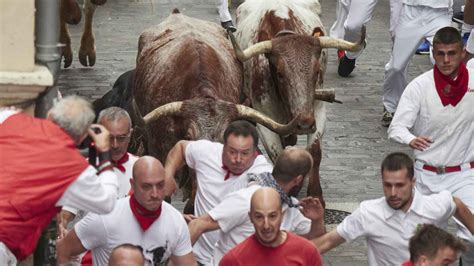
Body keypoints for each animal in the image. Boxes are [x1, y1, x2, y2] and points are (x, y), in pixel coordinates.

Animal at [231, 0, 364, 208]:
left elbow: (315, 152)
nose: (304, 123)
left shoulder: (318, 110)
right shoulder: (263, 119)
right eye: (279, 73)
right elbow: (277, 154)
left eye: (316, 71)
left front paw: (316, 195)